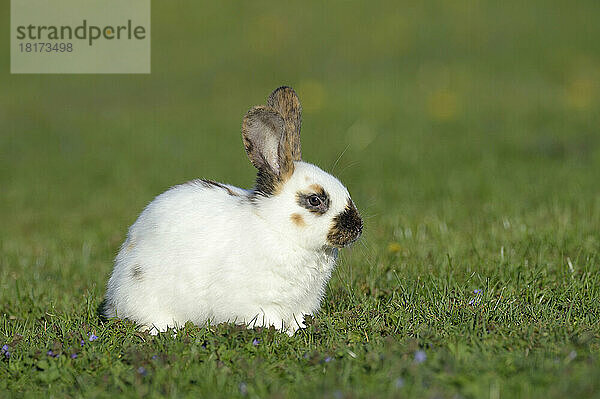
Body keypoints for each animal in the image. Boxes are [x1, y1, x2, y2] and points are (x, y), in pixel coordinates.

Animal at [103, 86, 364, 336]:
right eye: (315, 200)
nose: (358, 227)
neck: (276, 227)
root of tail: (115, 297)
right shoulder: (259, 303)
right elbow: (270, 320)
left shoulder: (301, 304)